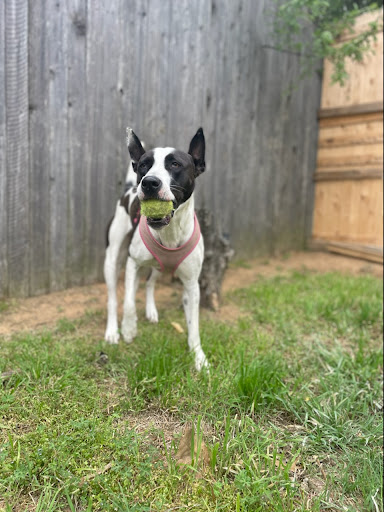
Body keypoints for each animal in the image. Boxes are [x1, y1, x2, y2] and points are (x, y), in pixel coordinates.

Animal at [103, 126, 208, 370]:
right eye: (144, 165)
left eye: (175, 164)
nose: (149, 182)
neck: (170, 232)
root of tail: (129, 189)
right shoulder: (133, 263)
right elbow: (128, 302)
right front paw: (129, 329)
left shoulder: (192, 284)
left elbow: (194, 324)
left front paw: (198, 357)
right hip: (113, 259)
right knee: (114, 297)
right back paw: (113, 331)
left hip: (158, 267)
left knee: (149, 283)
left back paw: (150, 310)